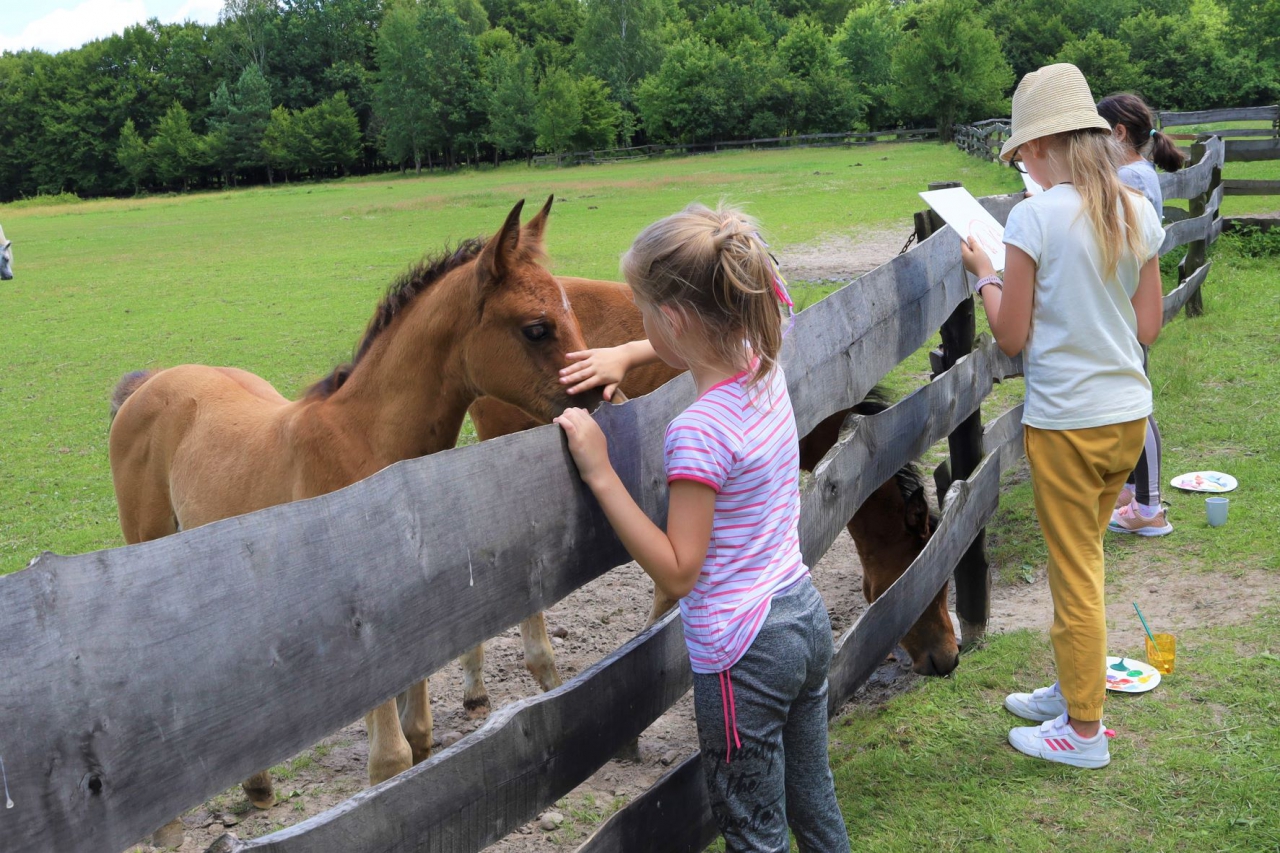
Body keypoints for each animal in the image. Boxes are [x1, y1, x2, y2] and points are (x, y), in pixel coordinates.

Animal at [107, 197, 601, 845]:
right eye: (536, 327)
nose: (601, 396)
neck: (369, 444)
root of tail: (150, 382)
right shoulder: (364, 623)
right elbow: (389, 759)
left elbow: (418, 739)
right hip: (148, 541)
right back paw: (168, 828)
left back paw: (258, 786)